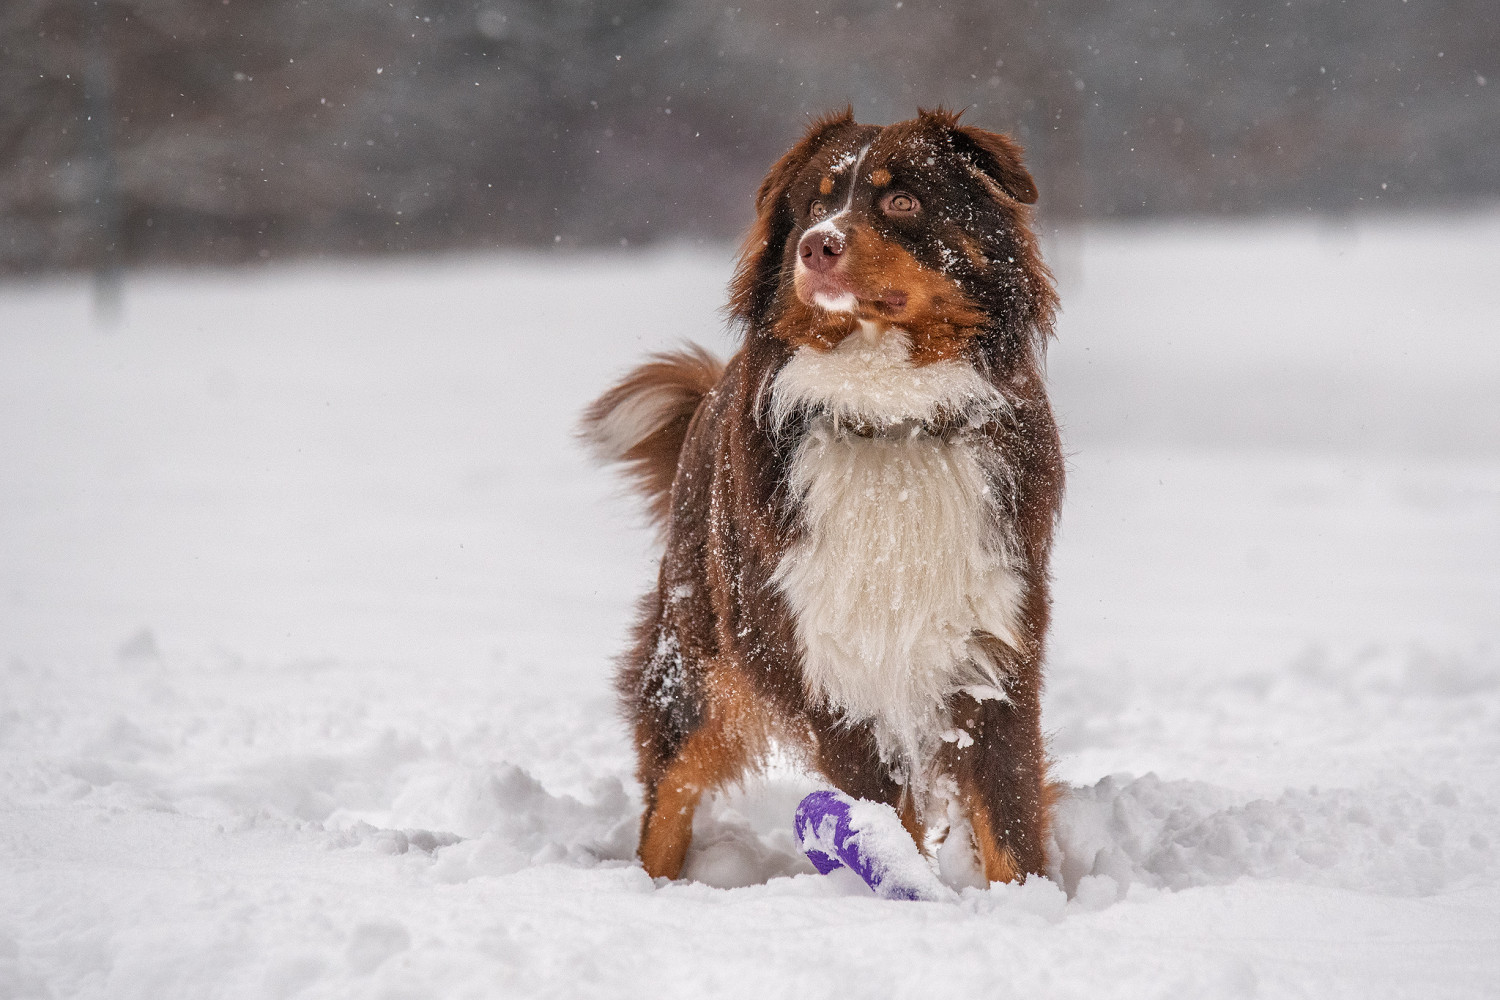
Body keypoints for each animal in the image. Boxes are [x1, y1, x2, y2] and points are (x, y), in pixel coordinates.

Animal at [579, 109, 1062, 887]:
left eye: (902, 201)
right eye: (816, 203)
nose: (817, 245)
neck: (889, 418)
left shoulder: (992, 650)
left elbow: (1009, 825)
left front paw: (1027, 905)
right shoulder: (820, 659)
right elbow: (882, 821)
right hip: (696, 658)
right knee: (669, 789)